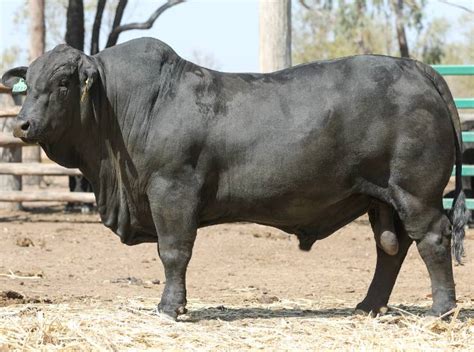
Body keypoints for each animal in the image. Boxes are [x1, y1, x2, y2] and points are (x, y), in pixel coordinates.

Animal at [0, 38, 466, 320]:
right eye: (28, 84)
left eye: (63, 82)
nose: (22, 125)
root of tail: (415, 68)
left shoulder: (172, 191)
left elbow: (174, 253)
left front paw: (169, 307)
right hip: (382, 199)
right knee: (391, 249)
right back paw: (367, 306)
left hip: (416, 193)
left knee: (431, 240)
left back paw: (442, 310)